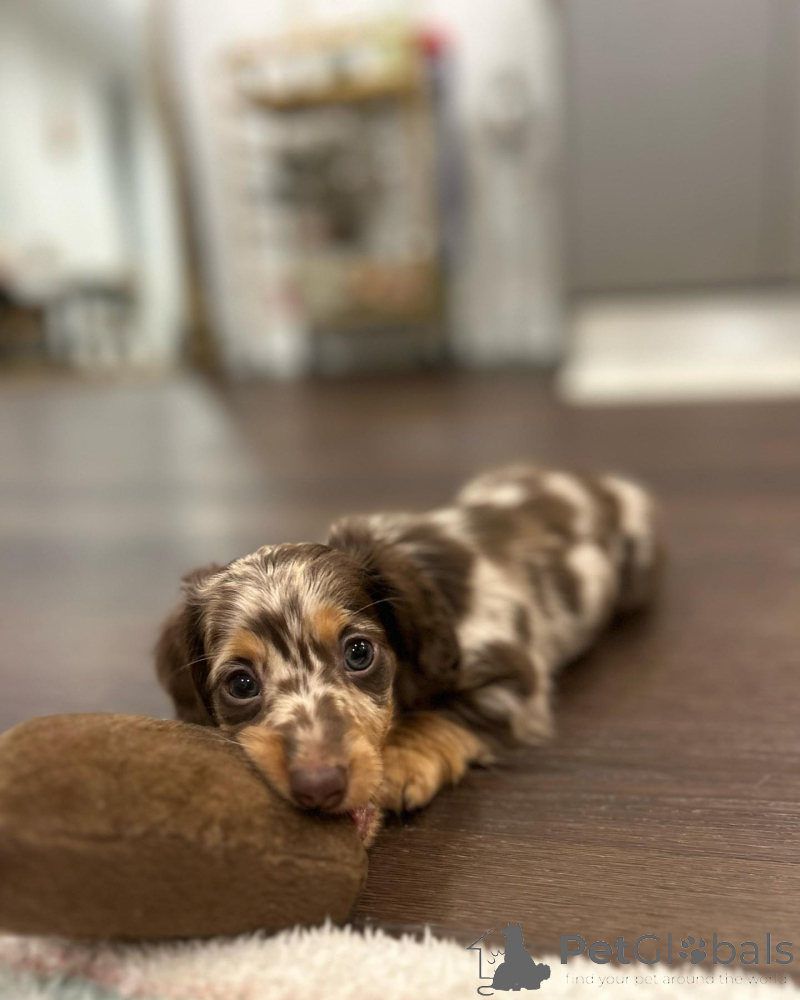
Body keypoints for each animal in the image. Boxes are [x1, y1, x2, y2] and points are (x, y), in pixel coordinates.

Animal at [155, 464, 659, 844]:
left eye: (359, 652)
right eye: (240, 684)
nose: (319, 787)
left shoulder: (512, 676)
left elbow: (445, 712)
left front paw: (401, 760)